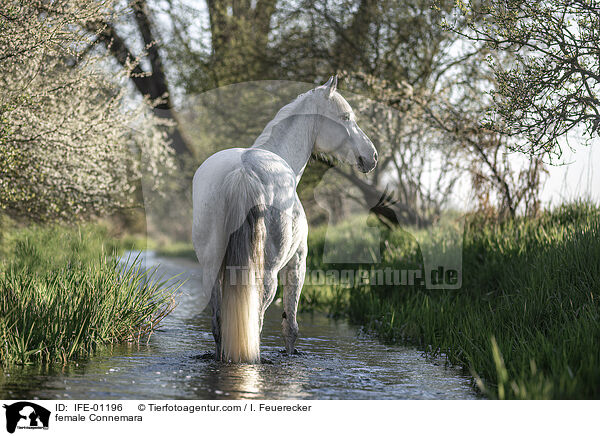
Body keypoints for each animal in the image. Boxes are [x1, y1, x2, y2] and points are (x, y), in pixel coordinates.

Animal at [192, 76, 378, 362]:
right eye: (346, 117)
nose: (372, 156)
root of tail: (242, 171)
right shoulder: (299, 260)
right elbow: (290, 325)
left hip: (211, 269)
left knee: (219, 325)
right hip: (268, 274)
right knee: (255, 323)